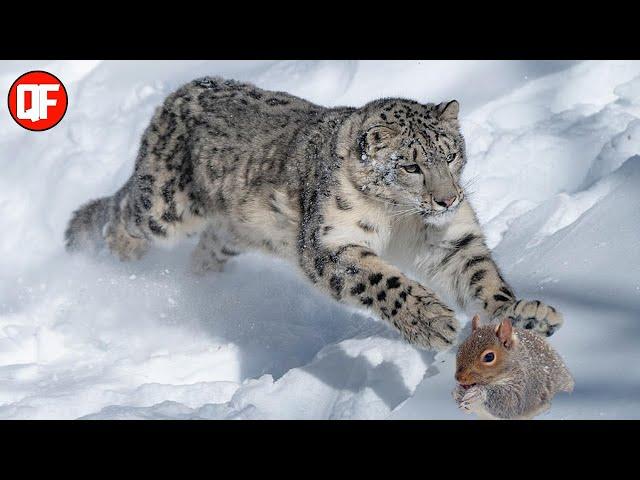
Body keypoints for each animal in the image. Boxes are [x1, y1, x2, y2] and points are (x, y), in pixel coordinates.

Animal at [65, 77, 564, 350]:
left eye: (452, 154)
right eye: (410, 166)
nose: (447, 200)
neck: (401, 222)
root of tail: (180, 92)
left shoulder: (450, 239)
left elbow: (482, 278)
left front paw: (525, 315)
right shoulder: (329, 243)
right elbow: (385, 281)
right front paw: (432, 322)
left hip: (234, 231)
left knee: (206, 249)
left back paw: (201, 288)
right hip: (164, 206)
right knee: (123, 215)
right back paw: (113, 259)